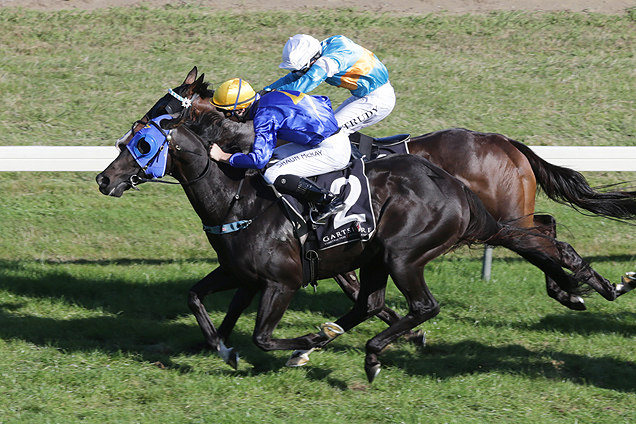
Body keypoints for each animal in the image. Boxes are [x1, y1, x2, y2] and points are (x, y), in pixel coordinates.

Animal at [95, 112, 632, 380]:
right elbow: (201, 303)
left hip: (405, 252)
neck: (236, 199)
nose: (104, 179)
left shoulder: (284, 281)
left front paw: (300, 345)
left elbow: (263, 334)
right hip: (406, 247)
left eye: (142, 143)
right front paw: (222, 348)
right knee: (542, 235)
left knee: (432, 298)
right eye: (127, 140)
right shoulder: (241, 273)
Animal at [120, 65, 636, 314]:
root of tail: (504, 141)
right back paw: (573, 290)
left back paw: (592, 286)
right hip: (509, 218)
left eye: (162, 110)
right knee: (546, 231)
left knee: (547, 241)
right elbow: (346, 278)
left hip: (505, 218)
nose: (133, 129)